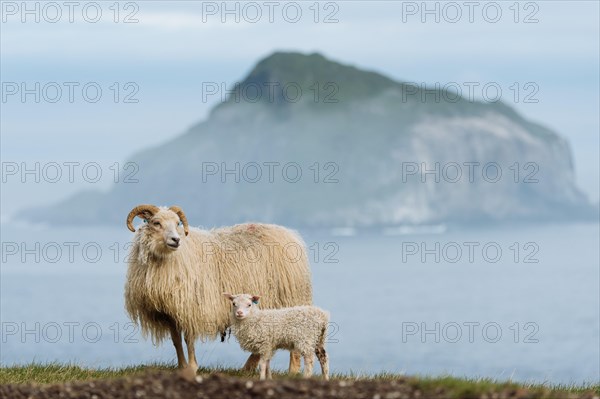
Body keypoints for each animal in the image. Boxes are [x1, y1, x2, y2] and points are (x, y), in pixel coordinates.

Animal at [123, 205, 312, 374]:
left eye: (177, 223)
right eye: (156, 223)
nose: (176, 240)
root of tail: (289, 233)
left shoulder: (191, 307)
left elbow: (188, 339)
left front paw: (192, 367)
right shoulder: (170, 311)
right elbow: (176, 340)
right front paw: (182, 367)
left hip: (290, 300)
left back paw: (292, 372)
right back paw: (247, 368)